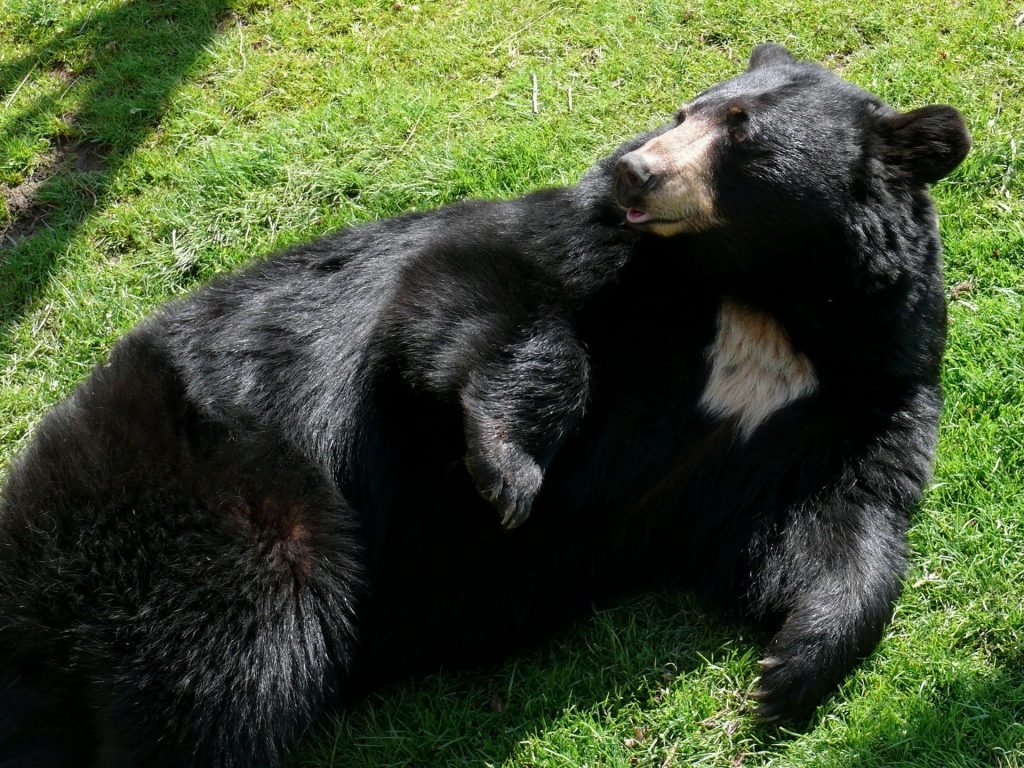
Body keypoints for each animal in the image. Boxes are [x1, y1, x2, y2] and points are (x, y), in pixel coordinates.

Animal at [0, 43, 966, 768]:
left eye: (741, 133)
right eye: (686, 111)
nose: (634, 169)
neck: (762, 295)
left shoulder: (861, 388)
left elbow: (831, 516)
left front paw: (785, 671)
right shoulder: (581, 251)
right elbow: (473, 294)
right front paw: (506, 475)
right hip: (211, 500)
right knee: (221, 657)